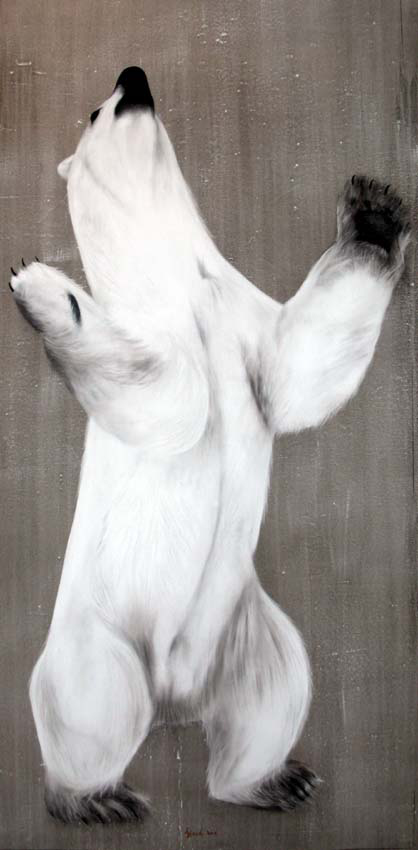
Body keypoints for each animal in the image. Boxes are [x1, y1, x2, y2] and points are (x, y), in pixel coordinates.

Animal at [9, 67, 410, 825]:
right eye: (95, 110)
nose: (132, 76)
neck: (184, 282)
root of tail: (175, 702)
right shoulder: (154, 330)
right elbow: (174, 402)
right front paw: (45, 289)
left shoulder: (248, 317)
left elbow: (298, 372)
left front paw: (375, 210)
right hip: (98, 643)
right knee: (92, 711)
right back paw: (94, 799)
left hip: (254, 637)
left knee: (271, 699)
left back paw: (276, 781)